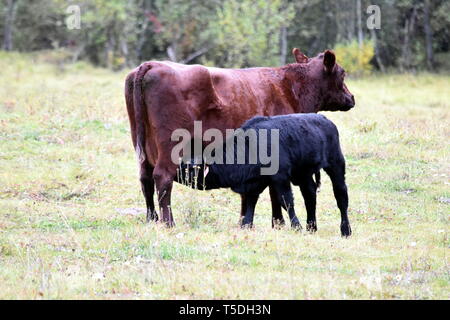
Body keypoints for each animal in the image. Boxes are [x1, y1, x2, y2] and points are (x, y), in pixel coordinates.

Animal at [125, 48, 354, 226]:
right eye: (342, 73)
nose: (351, 98)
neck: (289, 87)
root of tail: (151, 65)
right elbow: (275, 193)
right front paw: (278, 224)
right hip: (170, 146)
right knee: (163, 177)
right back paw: (168, 222)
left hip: (143, 148)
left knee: (145, 179)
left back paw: (151, 219)